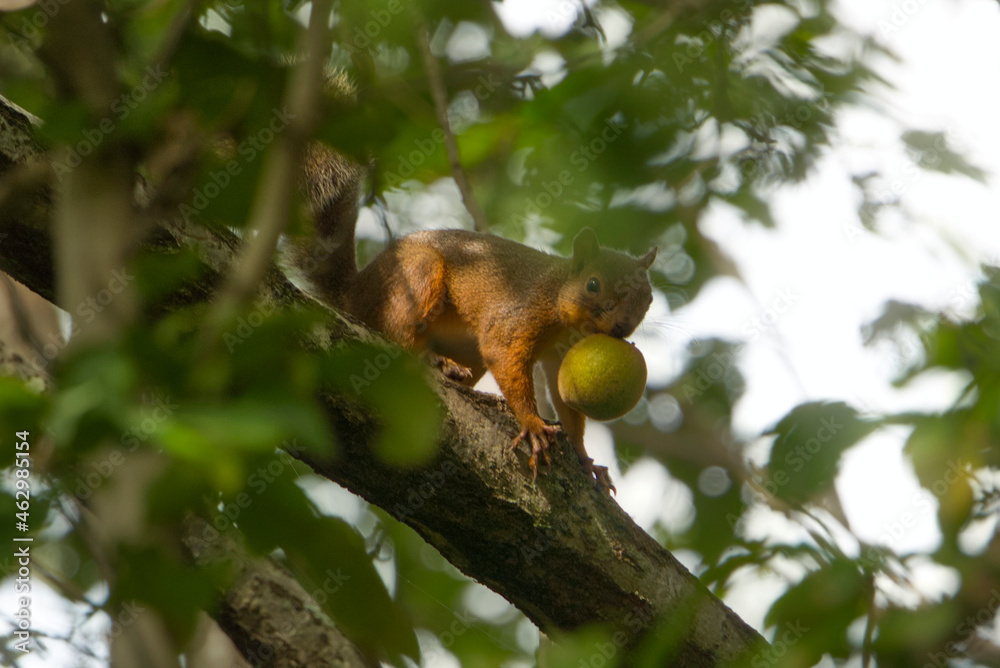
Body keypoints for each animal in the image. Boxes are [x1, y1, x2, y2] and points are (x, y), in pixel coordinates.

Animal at [292, 78, 656, 494]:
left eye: (649, 299)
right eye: (593, 284)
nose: (621, 327)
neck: (560, 303)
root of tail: (352, 293)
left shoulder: (560, 356)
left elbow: (568, 407)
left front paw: (585, 459)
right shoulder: (520, 314)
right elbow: (503, 353)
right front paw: (533, 425)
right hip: (416, 276)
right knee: (394, 334)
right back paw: (430, 359)